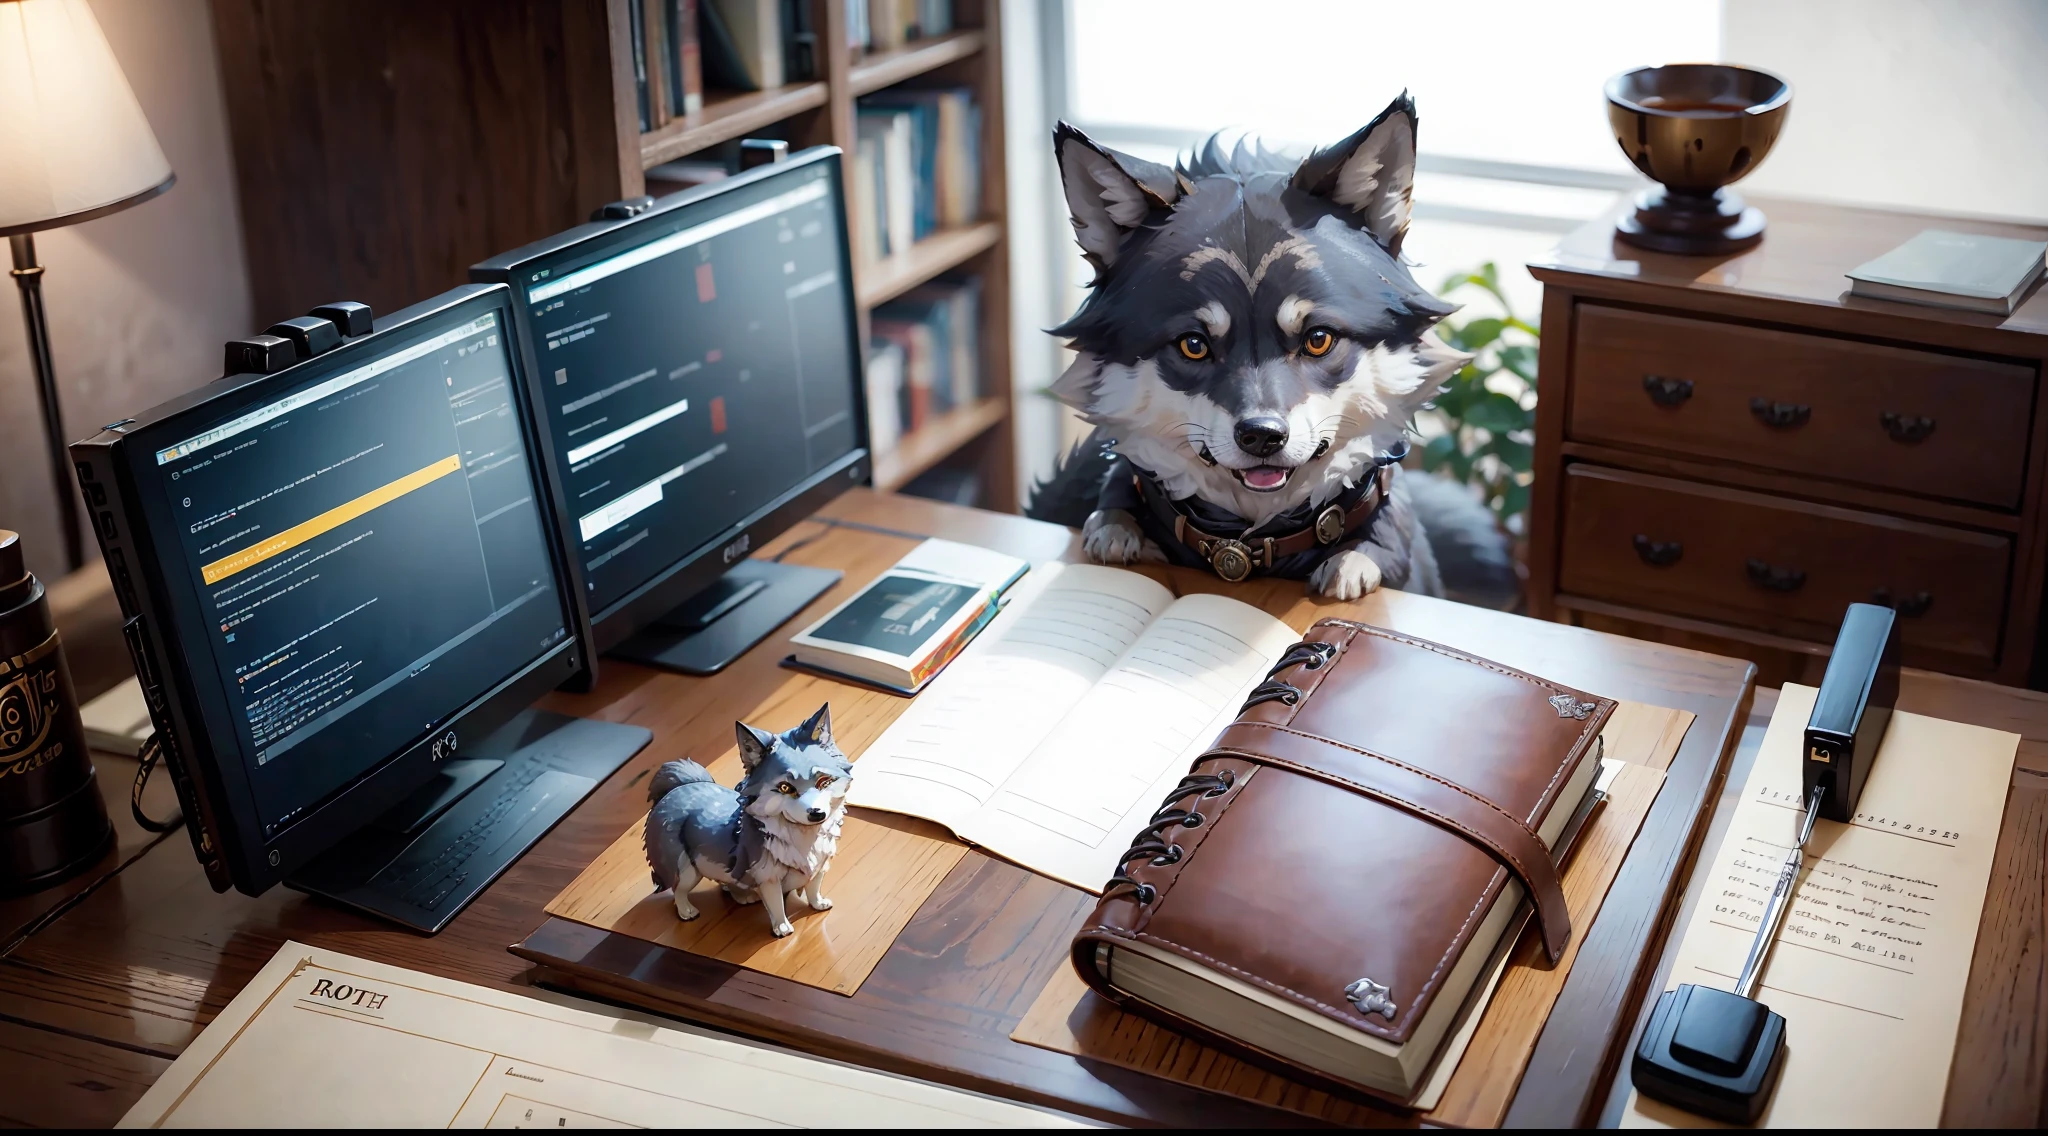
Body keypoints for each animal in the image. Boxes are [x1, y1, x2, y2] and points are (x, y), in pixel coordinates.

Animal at [638, 704, 847, 941]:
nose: (817, 814)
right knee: (678, 891)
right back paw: (687, 911)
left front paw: (818, 904)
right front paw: (782, 928)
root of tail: (676, 788)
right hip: (687, 870)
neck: (804, 838)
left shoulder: (820, 866)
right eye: (785, 788)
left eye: (824, 781)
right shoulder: (769, 878)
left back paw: (741, 895)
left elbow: (813, 889)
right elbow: (776, 905)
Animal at [1032, 97, 1515, 605]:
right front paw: (1118, 526)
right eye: (1194, 345)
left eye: (1318, 339)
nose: (1262, 437)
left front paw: (1352, 561)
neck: (1250, 544)